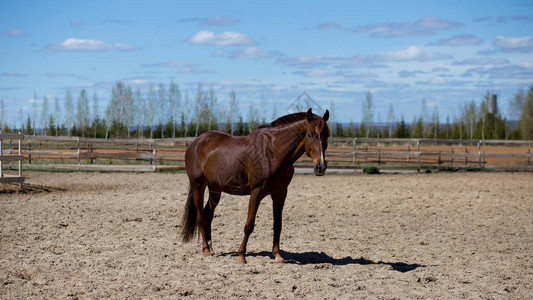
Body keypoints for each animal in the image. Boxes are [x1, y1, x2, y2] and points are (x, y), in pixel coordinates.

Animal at [181, 108, 326, 262]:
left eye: (326, 134)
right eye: (309, 134)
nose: (321, 167)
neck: (273, 151)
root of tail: (195, 143)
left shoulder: (280, 193)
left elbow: (277, 225)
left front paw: (277, 255)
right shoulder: (256, 192)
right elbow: (249, 225)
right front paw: (241, 256)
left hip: (215, 188)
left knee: (208, 214)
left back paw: (210, 247)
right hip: (198, 185)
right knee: (201, 217)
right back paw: (206, 250)